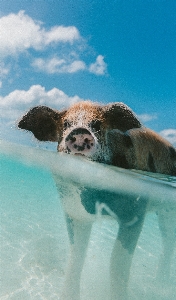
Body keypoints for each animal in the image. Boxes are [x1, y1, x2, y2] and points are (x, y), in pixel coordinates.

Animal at [18, 101, 175, 300]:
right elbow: (75, 257)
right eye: (66, 124)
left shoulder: (135, 211)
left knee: (168, 243)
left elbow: (117, 263)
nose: (79, 132)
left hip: (168, 210)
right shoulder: (74, 212)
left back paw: (160, 287)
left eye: (97, 125)